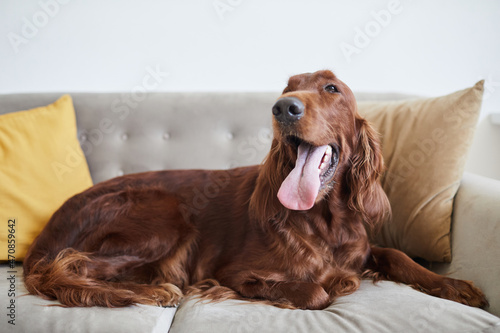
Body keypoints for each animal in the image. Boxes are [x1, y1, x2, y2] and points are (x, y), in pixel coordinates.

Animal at [21, 69, 486, 308]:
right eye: (287, 89)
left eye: (331, 88)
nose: (283, 108)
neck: (325, 219)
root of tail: (45, 233)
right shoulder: (233, 272)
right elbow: (314, 290)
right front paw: (334, 285)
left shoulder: (362, 249)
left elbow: (397, 256)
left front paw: (455, 286)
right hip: (164, 216)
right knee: (65, 267)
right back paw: (153, 290)